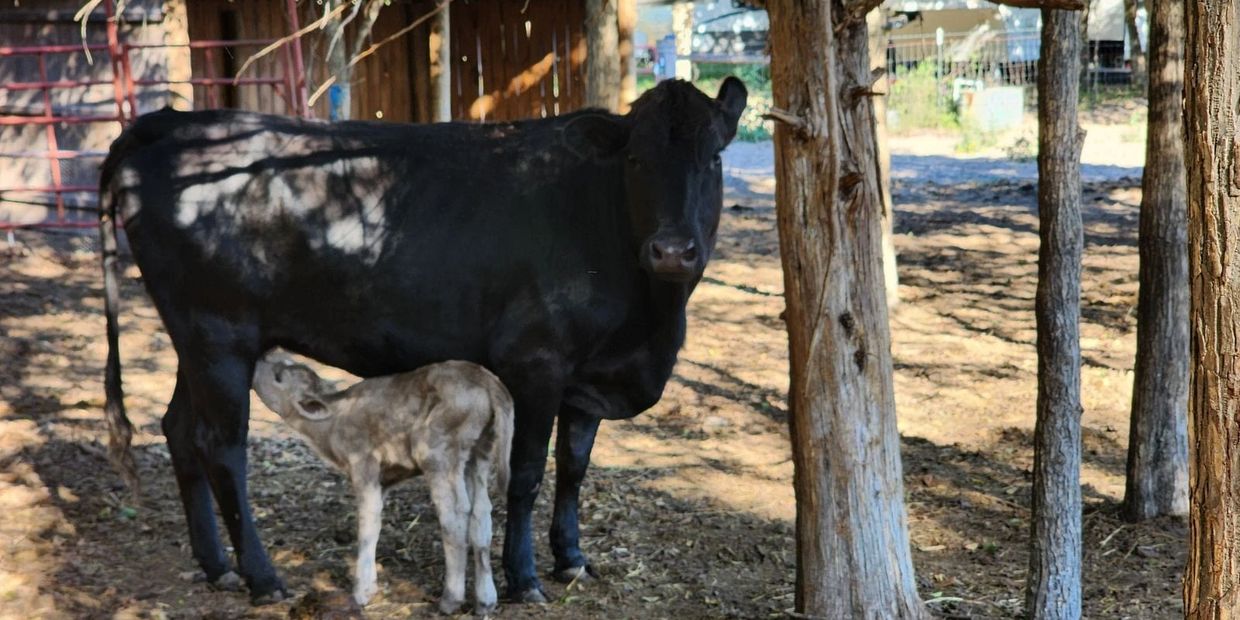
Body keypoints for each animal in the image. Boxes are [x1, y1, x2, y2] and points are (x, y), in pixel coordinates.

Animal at [99, 76, 747, 604]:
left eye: (715, 156)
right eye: (635, 158)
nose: (672, 251)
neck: (647, 324)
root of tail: (171, 121)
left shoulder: (590, 374)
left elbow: (574, 467)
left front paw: (571, 560)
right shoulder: (536, 361)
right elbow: (527, 473)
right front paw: (524, 577)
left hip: (197, 340)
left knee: (180, 431)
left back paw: (216, 567)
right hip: (219, 334)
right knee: (222, 448)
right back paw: (262, 577)